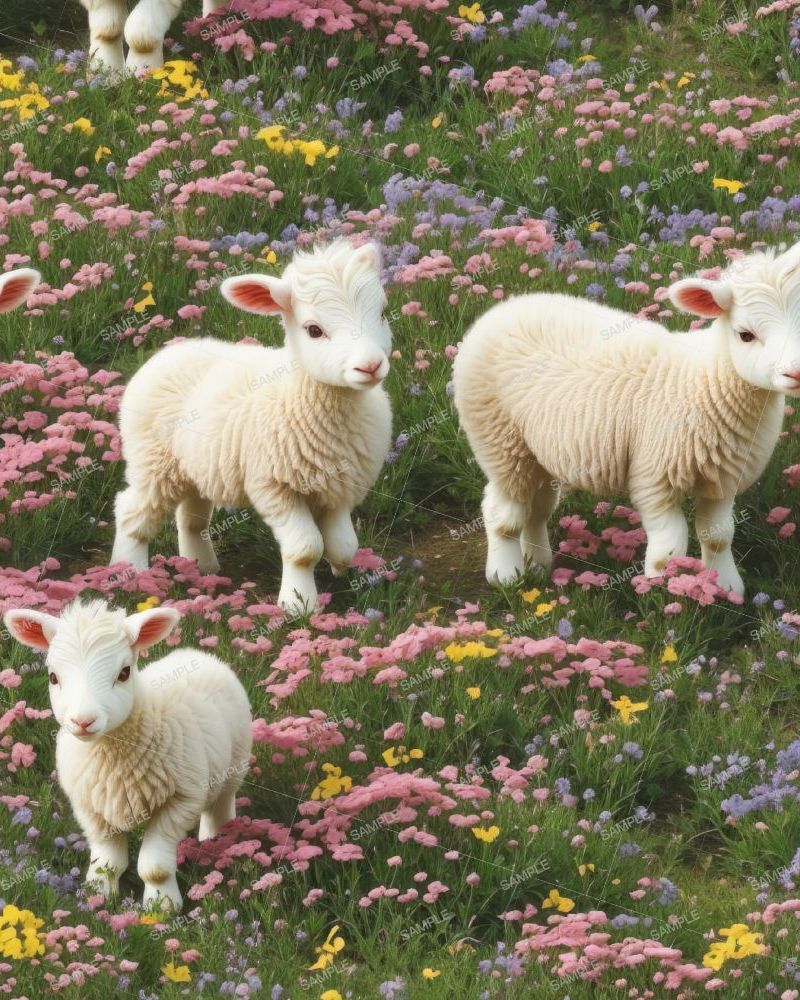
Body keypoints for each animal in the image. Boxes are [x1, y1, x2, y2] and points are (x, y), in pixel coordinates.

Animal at [3, 599, 253, 912]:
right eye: (53, 677)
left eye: (123, 673)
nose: (83, 721)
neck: (112, 753)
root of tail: (197, 654)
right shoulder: (90, 808)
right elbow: (106, 863)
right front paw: (97, 898)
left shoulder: (180, 800)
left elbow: (155, 868)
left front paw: (162, 907)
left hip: (235, 765)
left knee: (220, 805)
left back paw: (217, 837)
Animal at [111, 239, 393, 612]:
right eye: (314, 330)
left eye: (383, 313)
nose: (371, 366)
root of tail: (168, 352)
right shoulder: (273, 486)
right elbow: (305, 548)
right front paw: (299, 605)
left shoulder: (340, 486)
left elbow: (344, 545)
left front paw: (341, 573)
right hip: (153, 462)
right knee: (132, 512)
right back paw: (129, 572)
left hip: (196, 465)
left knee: (191, 518)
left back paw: (199, 567)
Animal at [453, 242, 800, 596]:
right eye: (745, 335)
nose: (796, 372)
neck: (703, 378)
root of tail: (504, 308)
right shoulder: (655, 476)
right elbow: (668, 548)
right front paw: (663, 593)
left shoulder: (723, 480)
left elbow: (718, 536)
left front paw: (726, 588)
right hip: (499, 439)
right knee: (504, 512)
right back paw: (506, 573)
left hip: (537, 452)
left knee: (537, 509)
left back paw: (537, 564)